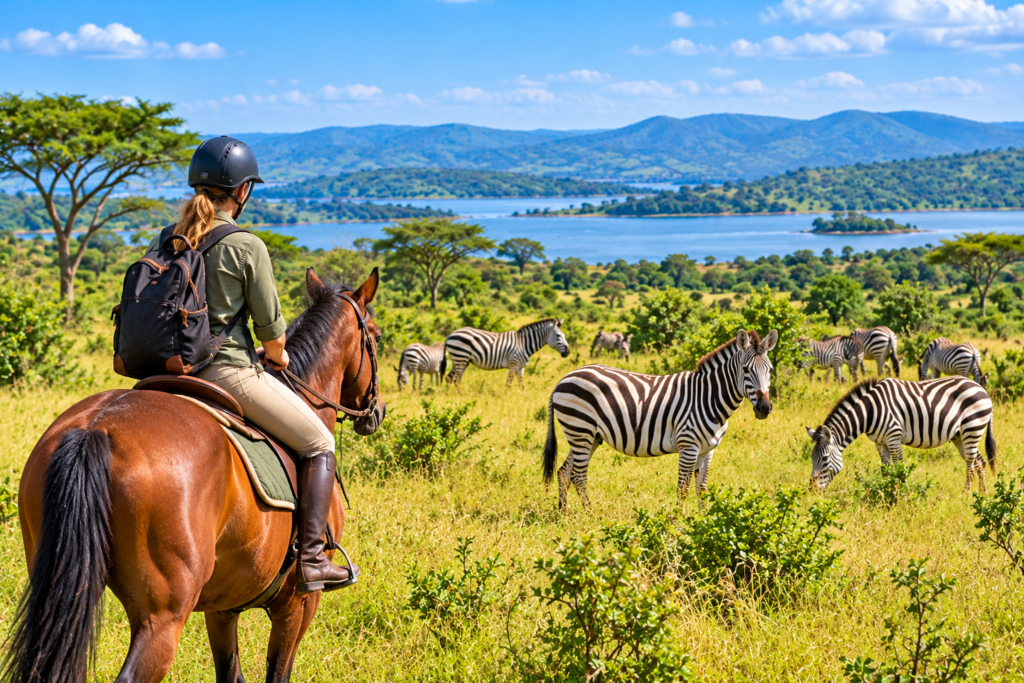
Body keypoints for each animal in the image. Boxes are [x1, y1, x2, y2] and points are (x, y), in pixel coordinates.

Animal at [544, 329, 778, 510]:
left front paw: (704, 521)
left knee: (564, 472)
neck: (708, 397)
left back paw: (563, 513)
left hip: (588, 436)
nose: (764, 408)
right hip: (580, 430)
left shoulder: (707, 450)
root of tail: (564, 378)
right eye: (746, 370)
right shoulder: (688, 446)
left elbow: (701, 489)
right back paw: (590, 515)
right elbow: (683, 489)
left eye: (770, 370)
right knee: (578, 475)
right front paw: (679, 525)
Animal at [806, 376, 995, 493]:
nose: (812, 490)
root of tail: (981, 388)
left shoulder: (893, 437)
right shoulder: (880, 442)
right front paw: (886, 489)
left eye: (824, 459)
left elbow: (899, 469)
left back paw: (965, 493)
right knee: (980, 462)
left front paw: (900, 493)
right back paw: (983, 493)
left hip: (972, 427)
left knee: (971, 465)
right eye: (811, 458)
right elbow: (886, 470)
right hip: (960, 436)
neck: (870, 412)